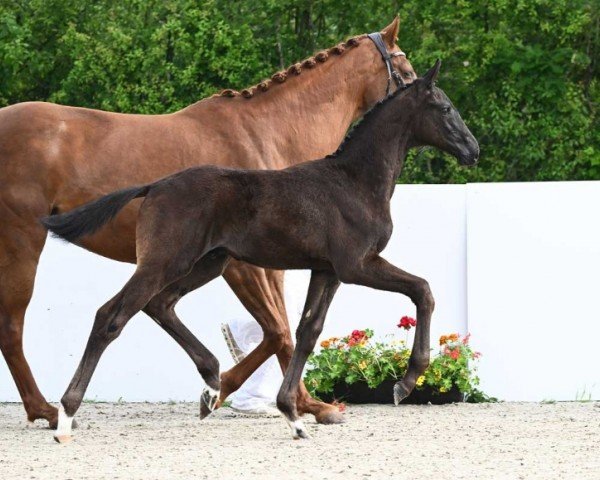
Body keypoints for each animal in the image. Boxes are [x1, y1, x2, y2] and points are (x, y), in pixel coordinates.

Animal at [44, 61, 480, 442]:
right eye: (445, 108)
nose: (473, 149)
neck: (354, 182)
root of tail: (155, 186)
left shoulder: (327, 271)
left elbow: (307, 331)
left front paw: (294, 416)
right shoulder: (356, 265)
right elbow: (422, 289)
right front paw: (406, 383)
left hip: (206, 264)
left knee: (159, 305)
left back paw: (212, 380)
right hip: (165, 261)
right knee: (112, 316)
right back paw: (65, 417)